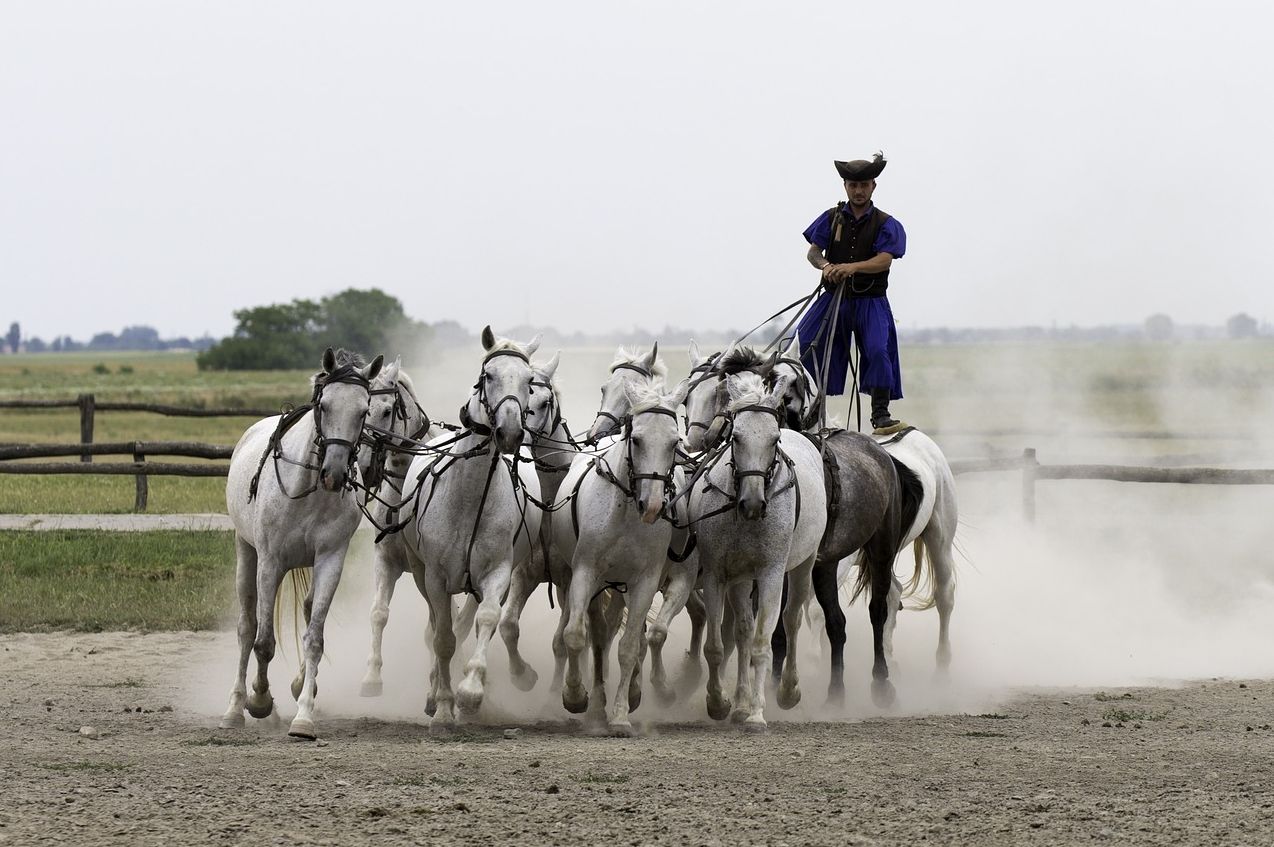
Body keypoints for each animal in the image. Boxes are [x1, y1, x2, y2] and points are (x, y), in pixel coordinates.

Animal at [219, 346, 382, 738]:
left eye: (364, 411)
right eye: (324, 405)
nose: (334, 474)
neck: (306, 490)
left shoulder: (330, 560)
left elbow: (315, 638)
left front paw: (304, 715)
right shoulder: (270, 562)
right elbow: (263, 642)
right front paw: (259, 700)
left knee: (307, 614)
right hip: (246, 553)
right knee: (247, 629)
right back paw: (235, 708)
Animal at [394, 326, 540, 728]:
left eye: (530, 381)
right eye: (487, 375)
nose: (510, 432)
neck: (470, 496)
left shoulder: (497, 572)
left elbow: (486, 619)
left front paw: (471, 692)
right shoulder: (435, 576)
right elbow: (442, 637)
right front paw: (444, 707)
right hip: (419, 572)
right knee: (437, 626)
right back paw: (434, 694)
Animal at [550, 377, 687, 733]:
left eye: (674, 442)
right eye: (636, 439)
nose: (651, 505)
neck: (625, 513)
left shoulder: (643, 582)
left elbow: (628, 648)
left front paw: (622, 714)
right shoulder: (585, 573)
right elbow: (575, 636)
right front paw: (575, 697)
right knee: (595, 636)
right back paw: (593, 701)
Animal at [687, 369, 825, 728]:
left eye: (774, 439)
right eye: (736, 437)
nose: (752, 503)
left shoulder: (771, 573)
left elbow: (763, 643)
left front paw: (757, 714)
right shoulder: (719, 574)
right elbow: (719, 644)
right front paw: (720, 702)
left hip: (803, 565)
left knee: (791, 619)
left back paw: (788, 690)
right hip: (741, 578)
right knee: (743, 631)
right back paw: (739, 702)